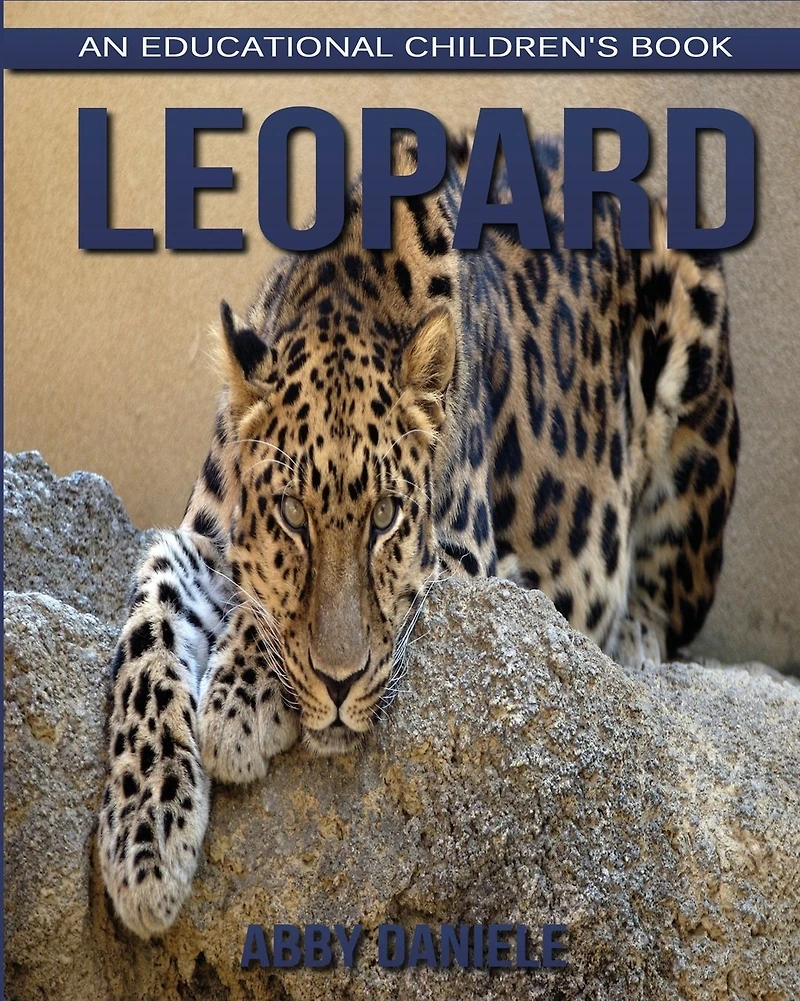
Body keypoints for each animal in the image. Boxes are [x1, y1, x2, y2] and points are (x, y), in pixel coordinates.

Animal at [98, 133, 739, 939]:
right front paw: (143, 839)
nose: (339, 686)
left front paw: (239, 702)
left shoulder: (467, 558)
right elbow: (150, 619)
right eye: (291, 514)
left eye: (385, 517)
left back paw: (629, 645)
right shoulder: (204, 538)